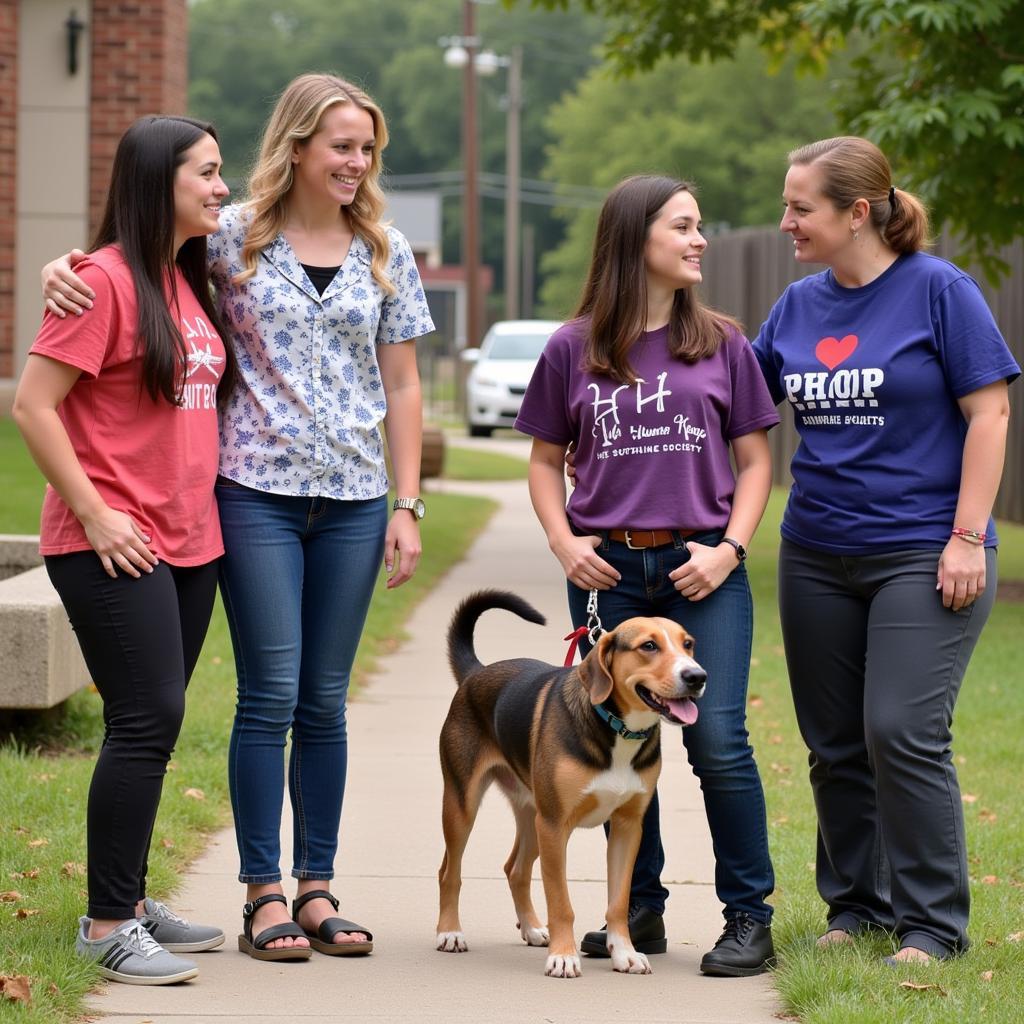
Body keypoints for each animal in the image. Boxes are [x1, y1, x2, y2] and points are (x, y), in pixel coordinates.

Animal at [436, 593, 708, 974]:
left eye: (689, 644)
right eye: (649, 646)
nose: (697, 676)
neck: (616, 729)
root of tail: (477, 672)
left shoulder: (627, 827)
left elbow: (618, 901)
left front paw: (623, 952)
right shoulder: (555, 826)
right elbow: (561, 903)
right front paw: (563, 956)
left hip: (532, 814)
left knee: (516, 869)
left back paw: (532, 928)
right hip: (464, 805)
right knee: (449, 871)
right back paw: (450, 933)